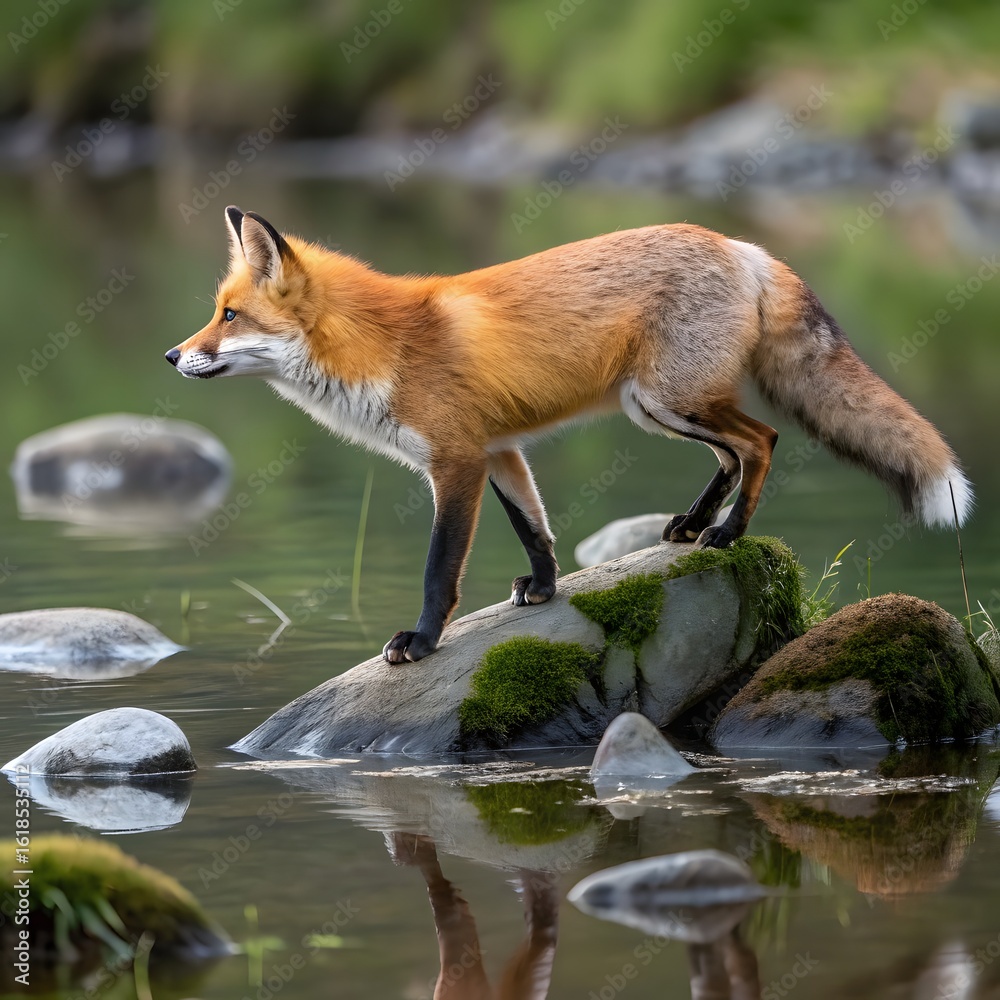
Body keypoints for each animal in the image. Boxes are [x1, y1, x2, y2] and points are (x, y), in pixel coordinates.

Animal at [166, 206, 972, 664]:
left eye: (229, 318)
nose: (173, 355)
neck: (382, 347)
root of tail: (737, 243)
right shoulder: (499, 451)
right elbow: (535, 530)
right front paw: (547, 589)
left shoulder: (455, 461)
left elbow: (439, 569)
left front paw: (421, 642)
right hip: (655, 407)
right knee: (733, 451)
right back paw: (693, 524)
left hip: (669, 399)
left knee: (762, 440)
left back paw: (727, 533)